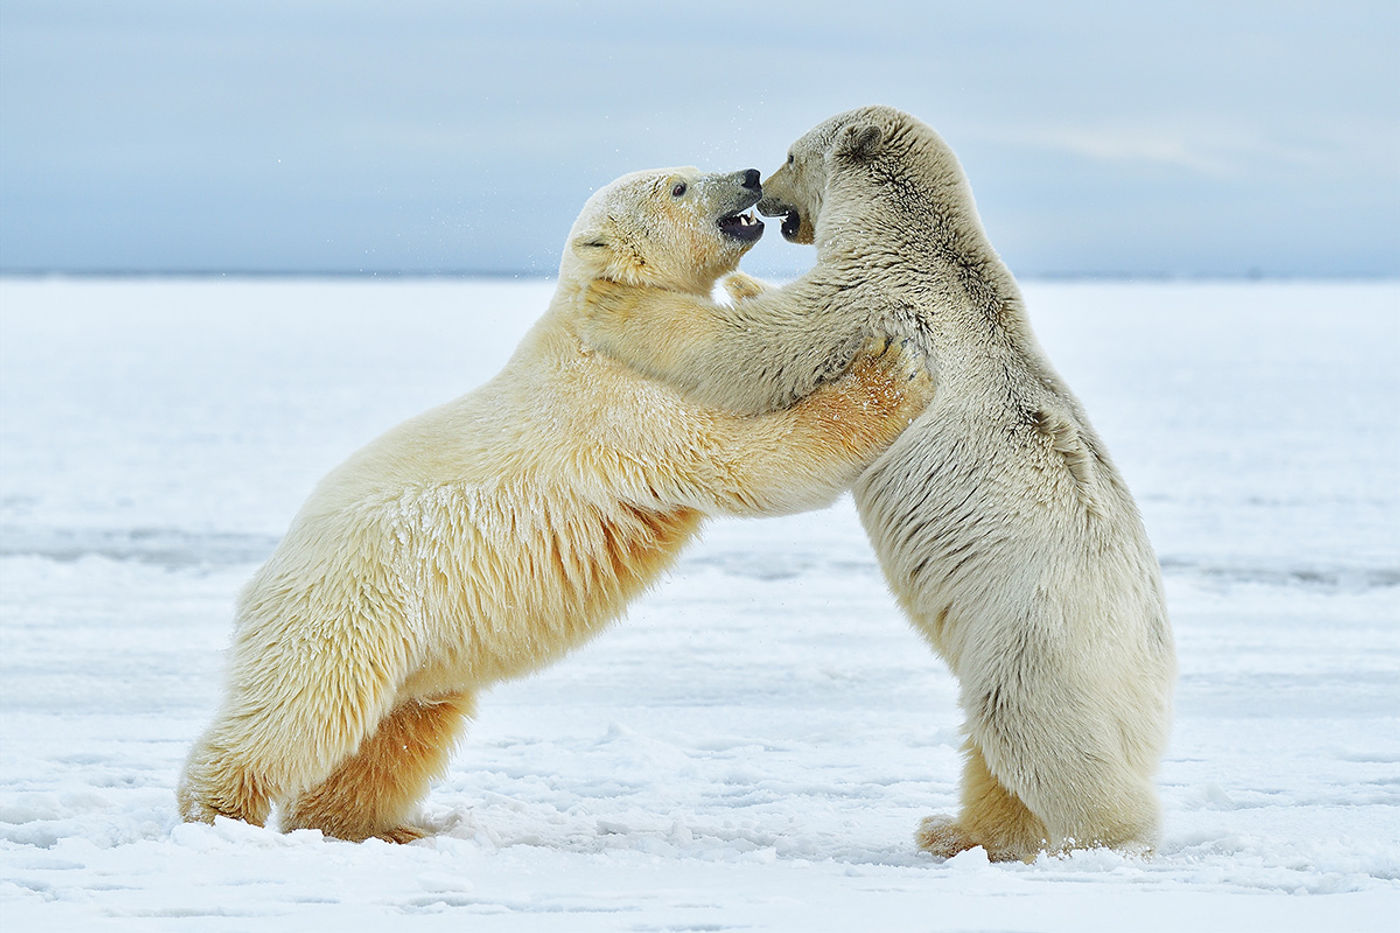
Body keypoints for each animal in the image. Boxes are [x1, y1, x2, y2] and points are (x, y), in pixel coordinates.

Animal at [180, 163, 935, 840]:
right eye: (679, 186)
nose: (749, 175)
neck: (587, 315)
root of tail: (269, 571)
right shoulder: (616, 399)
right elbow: (745, 457)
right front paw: (891, 369)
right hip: (349, 608)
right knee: (301, 712)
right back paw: (218, 811)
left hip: (420, 645)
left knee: (403, 728)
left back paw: (377, 826)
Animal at [585, 107, 1176, 857]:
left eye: (790, 156)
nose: (759, 181)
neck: (919, 239)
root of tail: (1153, 651)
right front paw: (746, 284)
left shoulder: (873, 297)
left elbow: (758, 351)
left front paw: (614, 303)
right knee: (990, 744)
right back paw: (954, 829)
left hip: (1036, 630)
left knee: (1033, 731)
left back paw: (1104, 840)